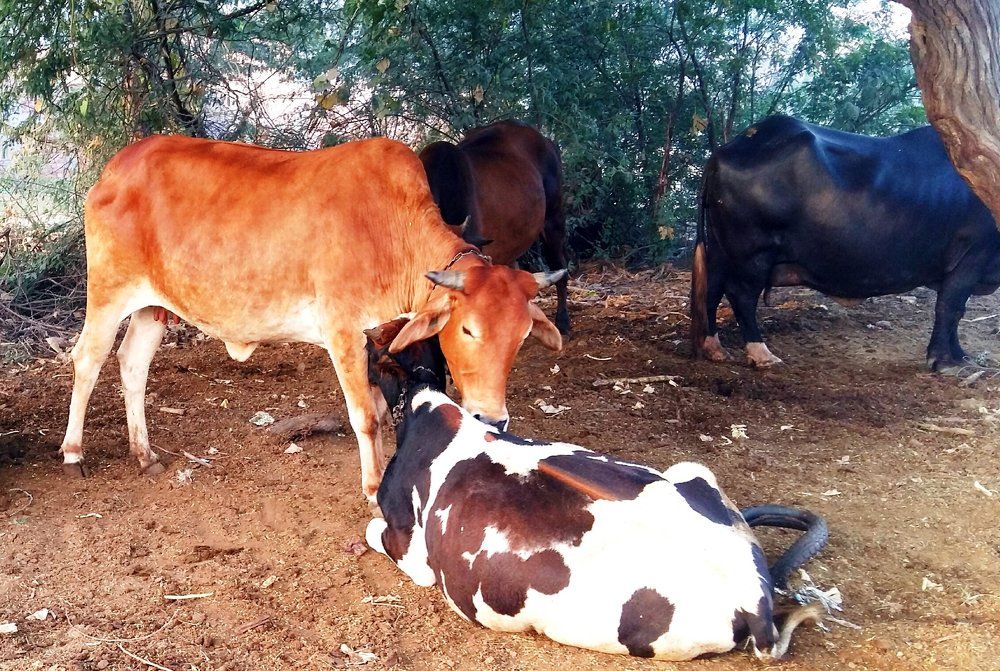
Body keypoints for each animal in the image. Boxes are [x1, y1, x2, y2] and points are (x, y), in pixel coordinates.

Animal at [690, 114, 1000, 371]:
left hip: (720, 249)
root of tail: (725, 151)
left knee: (712, 289)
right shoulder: (972, 255)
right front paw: (944, 360)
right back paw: (762, 353)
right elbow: (951, 308)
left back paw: (714, 348)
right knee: (740, 294)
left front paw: (960, 355)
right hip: (753, 253)